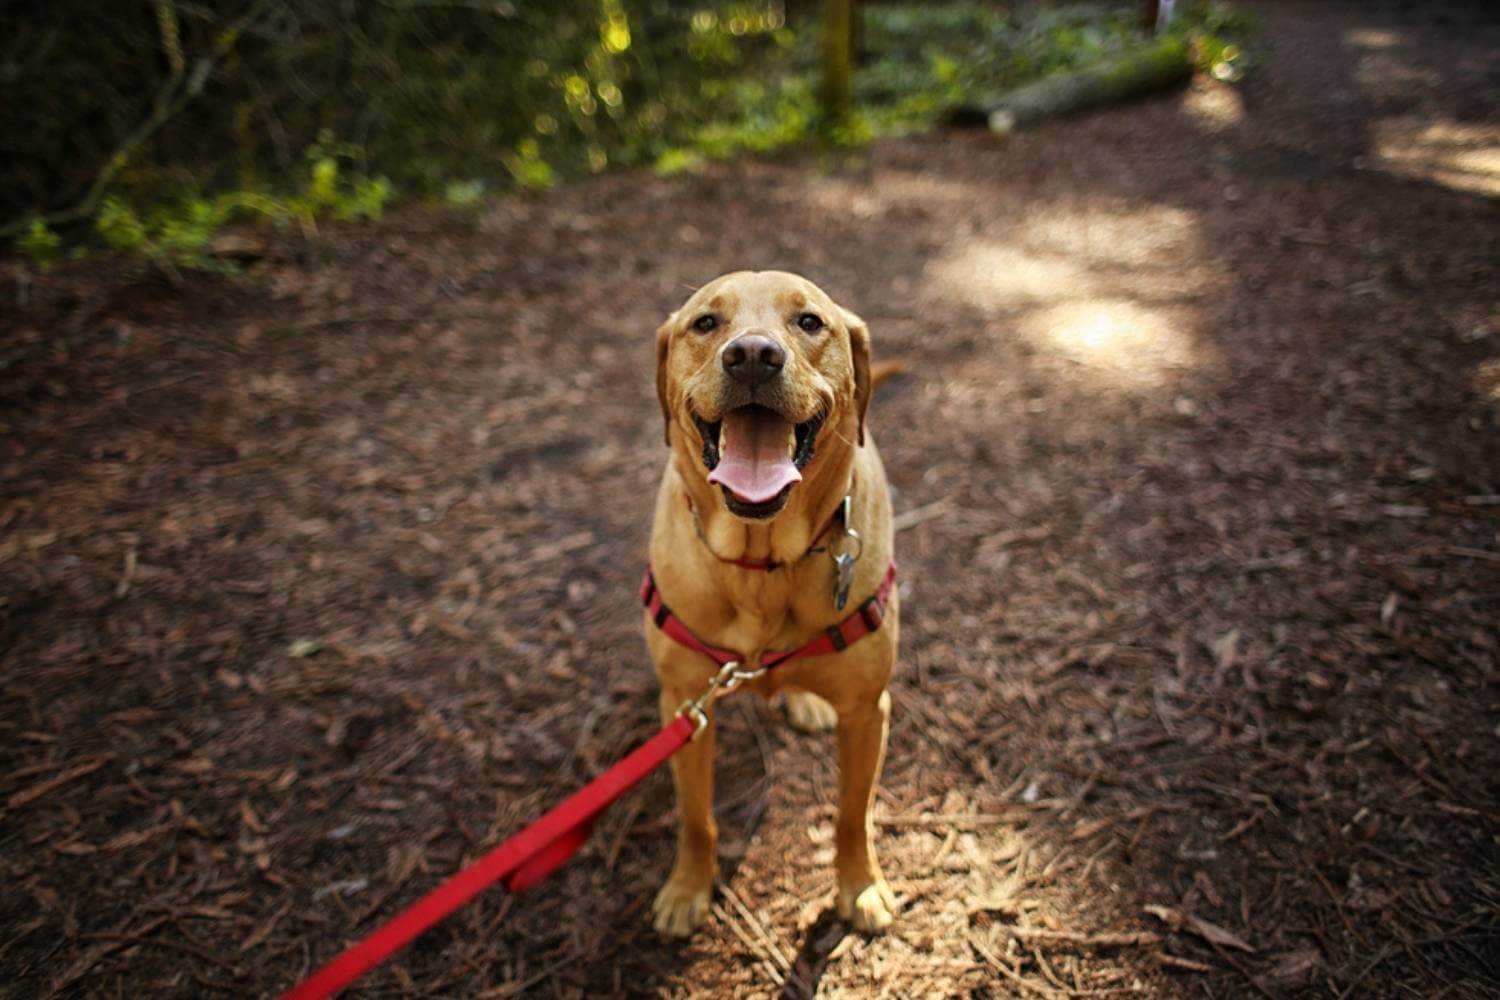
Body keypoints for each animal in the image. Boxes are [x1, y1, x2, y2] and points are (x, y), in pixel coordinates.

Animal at [645, 271, 900, 941]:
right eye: (705, 323)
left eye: (810, 322)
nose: (753, 355)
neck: (762, 563)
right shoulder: (685, 709)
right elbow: (696, 818)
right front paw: (687, 889)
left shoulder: (869, 711)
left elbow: (852, 813)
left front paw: (860, 887)